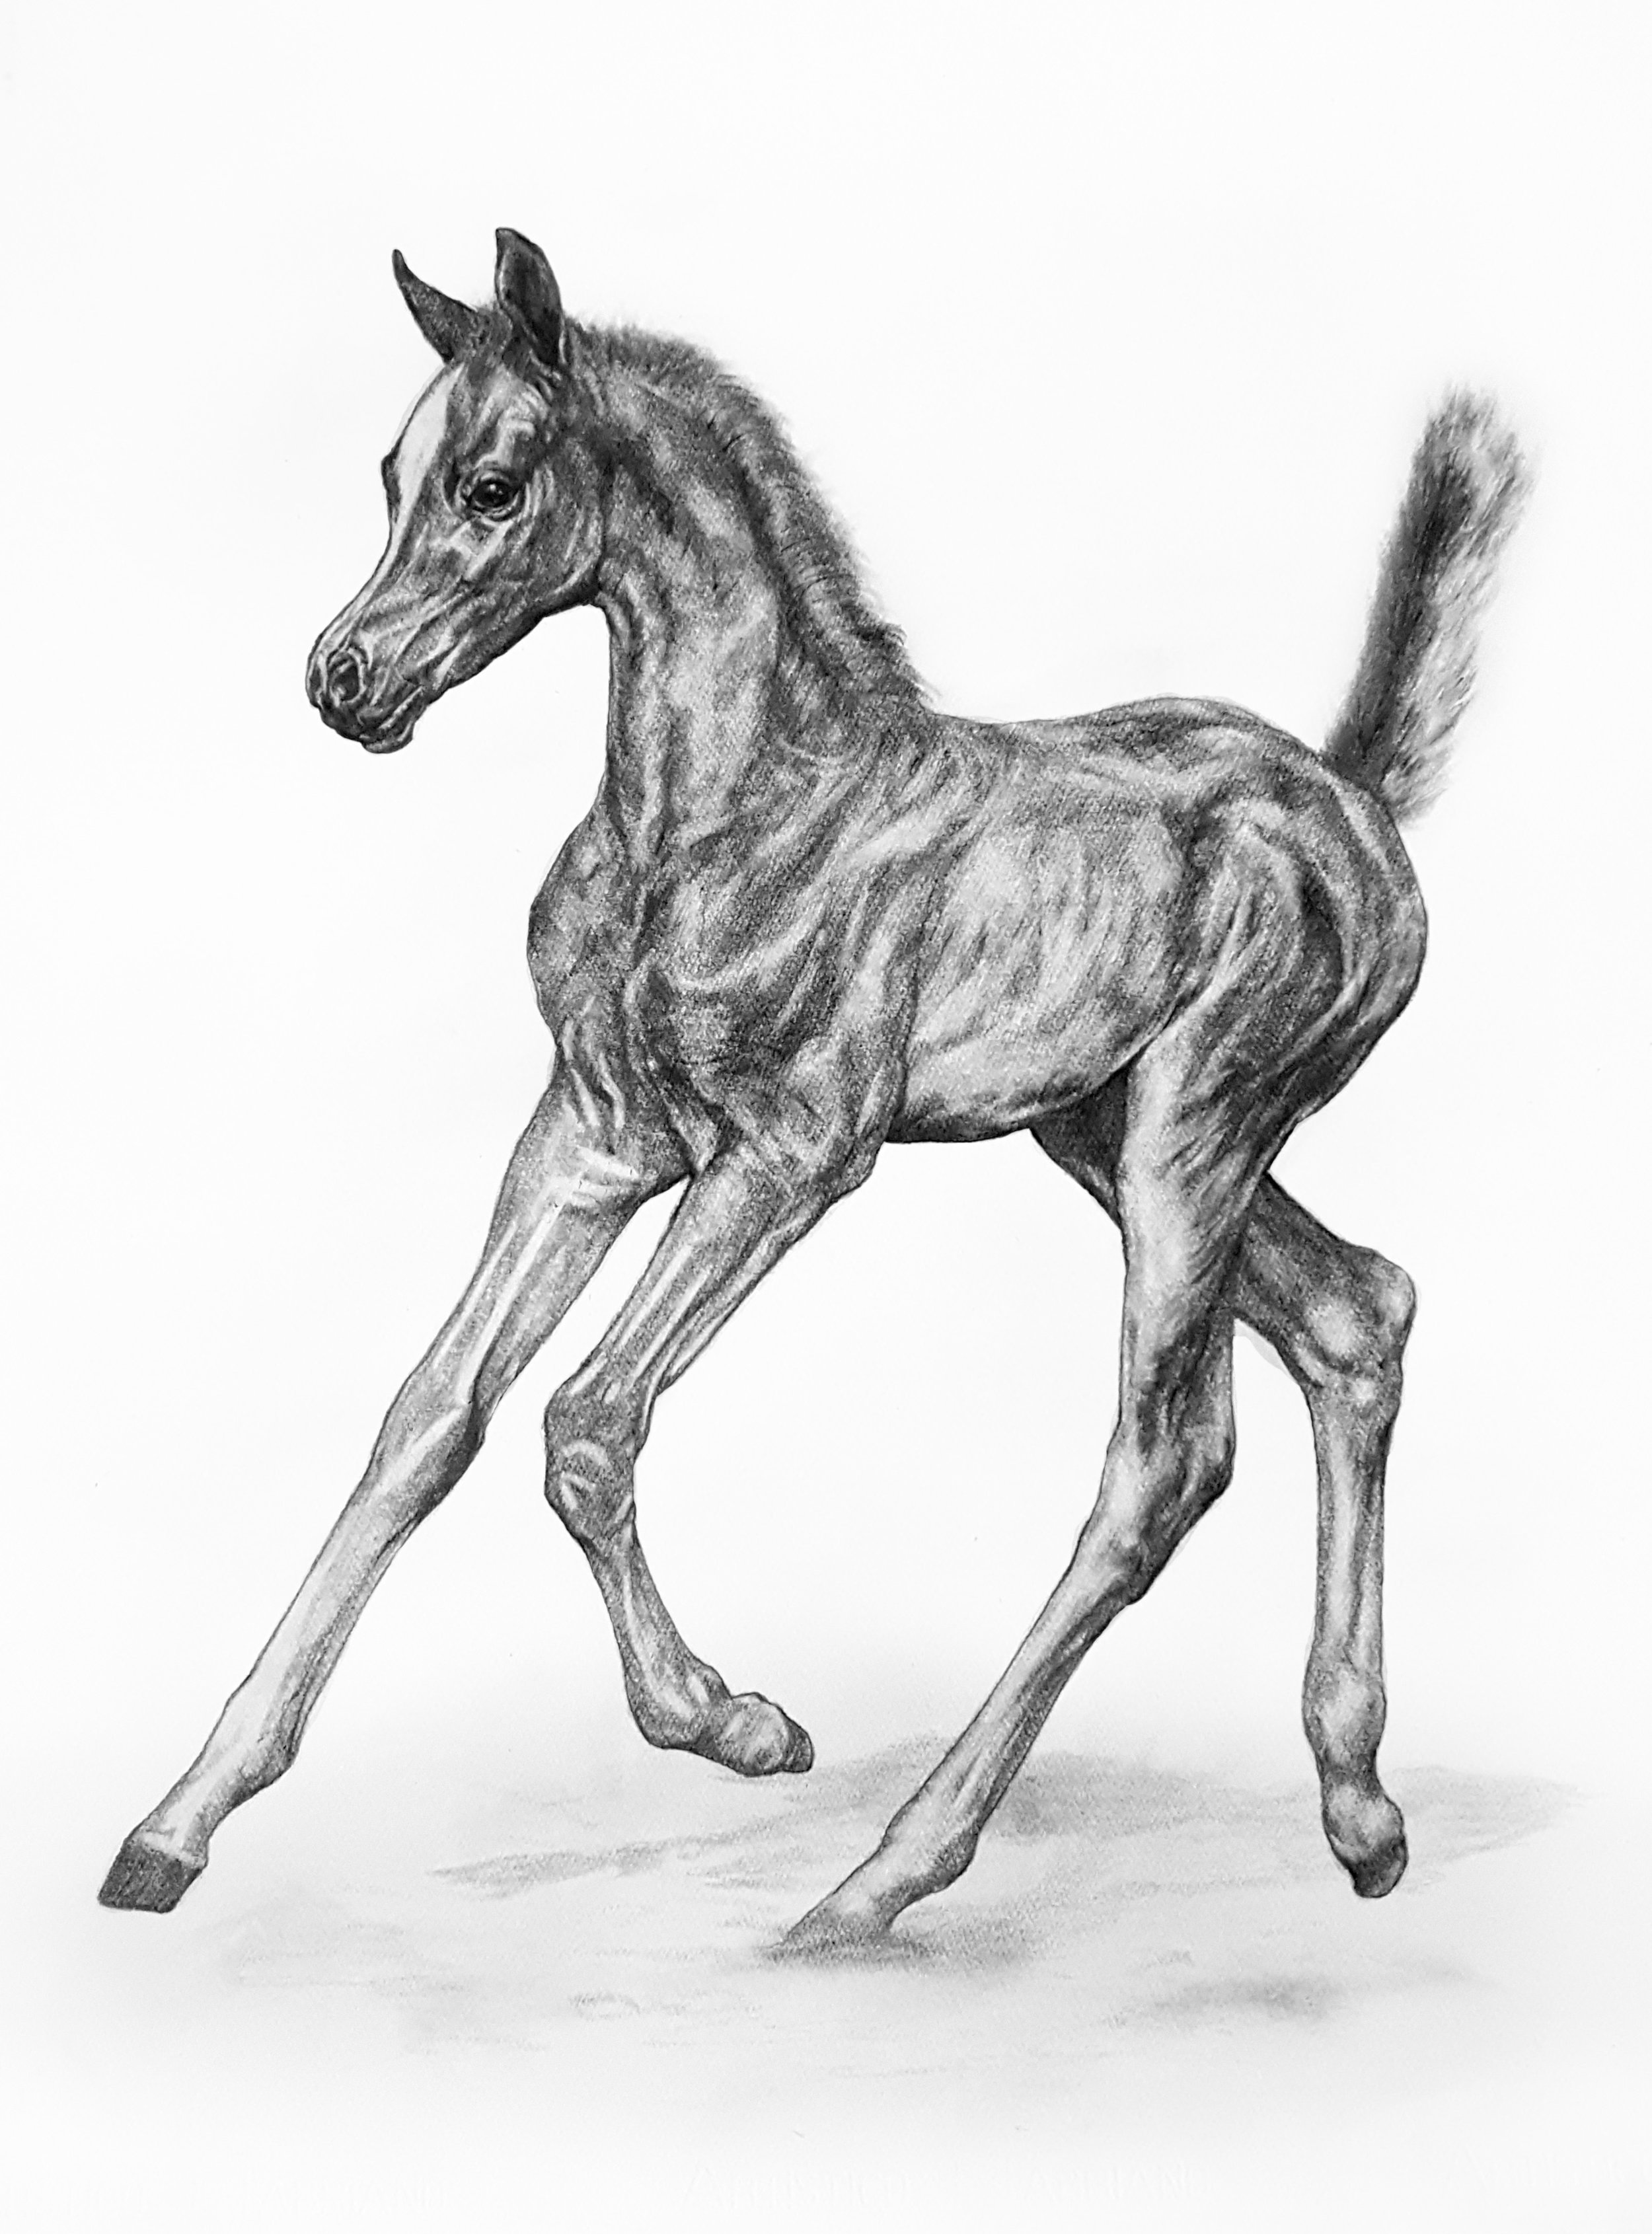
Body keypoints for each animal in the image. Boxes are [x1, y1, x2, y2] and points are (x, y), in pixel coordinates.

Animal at [100, 228, 1527, 1949]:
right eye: (389, 473)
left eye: (493, 484)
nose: (343, 680)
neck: (721, 811)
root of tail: (1353, 795)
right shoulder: (592, 1136)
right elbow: (427, 1418)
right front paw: (177, 1821)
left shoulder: (789, 1155)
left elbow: (587, 1421)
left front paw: (728, 1721)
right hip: (1101, 1134)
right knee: (1355, 1309)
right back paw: (1359, 1811)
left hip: (1195, 1134)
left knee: (1162, 1461)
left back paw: (874, 1884)